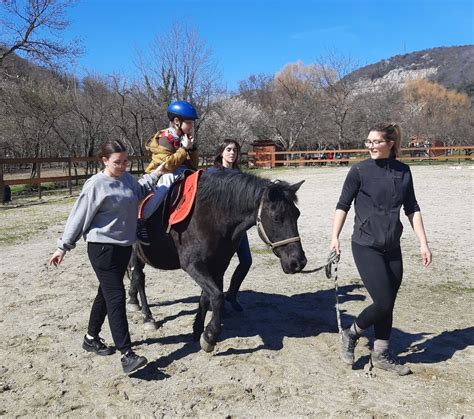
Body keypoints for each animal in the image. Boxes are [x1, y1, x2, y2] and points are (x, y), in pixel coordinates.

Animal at [130, 169, 308, 352]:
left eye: (297, 215)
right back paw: (147, 317)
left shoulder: (218, 265)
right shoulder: (193, 264)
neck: (212, 215)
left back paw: (133, 301)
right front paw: (210, 336)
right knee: (138, 277)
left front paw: (198, 330)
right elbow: (217, 296)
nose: (298, 262)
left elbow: (206, 297)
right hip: (136, 254)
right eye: (277, 218)